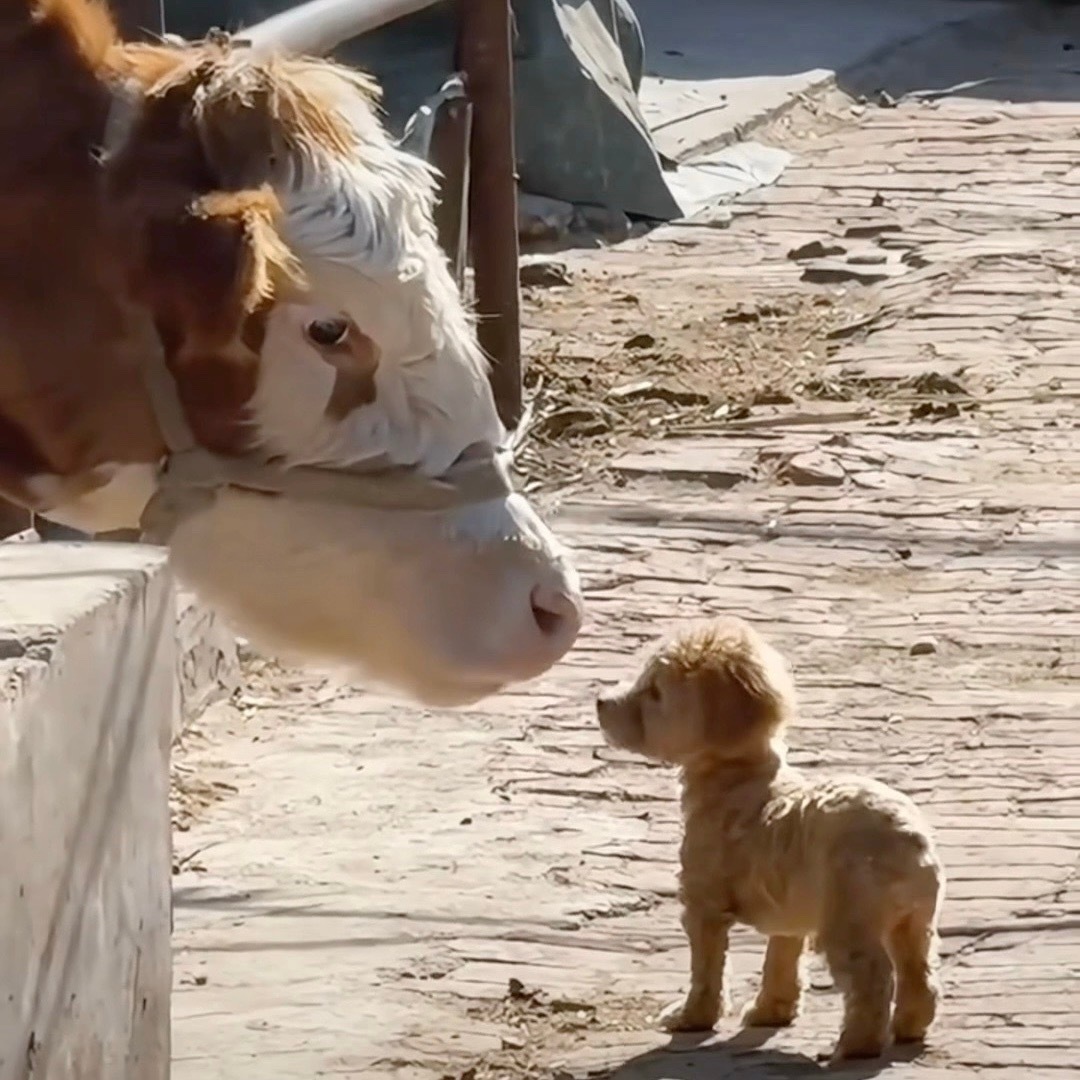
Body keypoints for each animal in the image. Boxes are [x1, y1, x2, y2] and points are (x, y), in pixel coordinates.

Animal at [600, 617, 946, 1062]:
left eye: (655, 692)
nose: (601, 702)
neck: (736, 776)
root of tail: (907, 839)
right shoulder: (788, 909)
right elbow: (780, 961)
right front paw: (771, 1012)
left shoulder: (704, 903)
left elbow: (707, 968)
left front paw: (691, 1017)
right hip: (915, 919)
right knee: (918, 972)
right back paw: (908, 1027)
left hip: (850, 918)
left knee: (872, 978)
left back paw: (854, 1045)